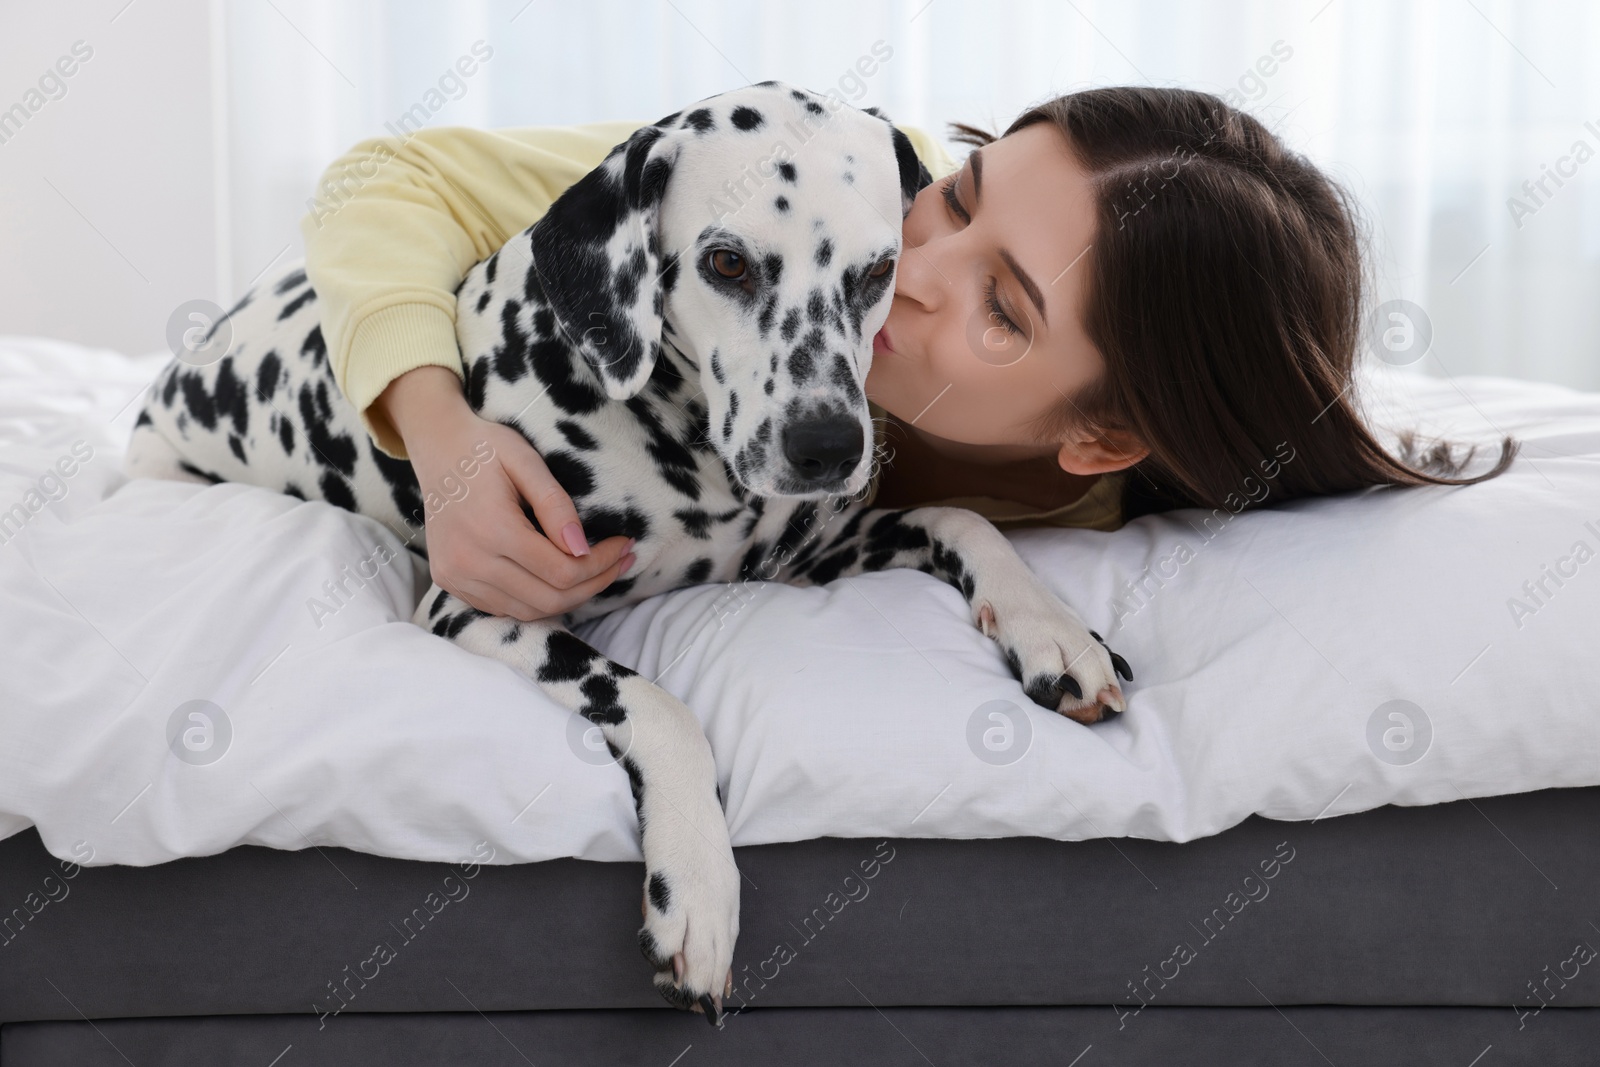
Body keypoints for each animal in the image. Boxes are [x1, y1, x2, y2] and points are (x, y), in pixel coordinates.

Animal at [124, 81, 1132, 1023]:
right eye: (726, 262)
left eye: (879, 268)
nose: (827, 446)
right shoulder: (478, 602)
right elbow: (659, 704)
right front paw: (700, 886)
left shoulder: (807, 556)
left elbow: (966, 521)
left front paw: (1055, 629)